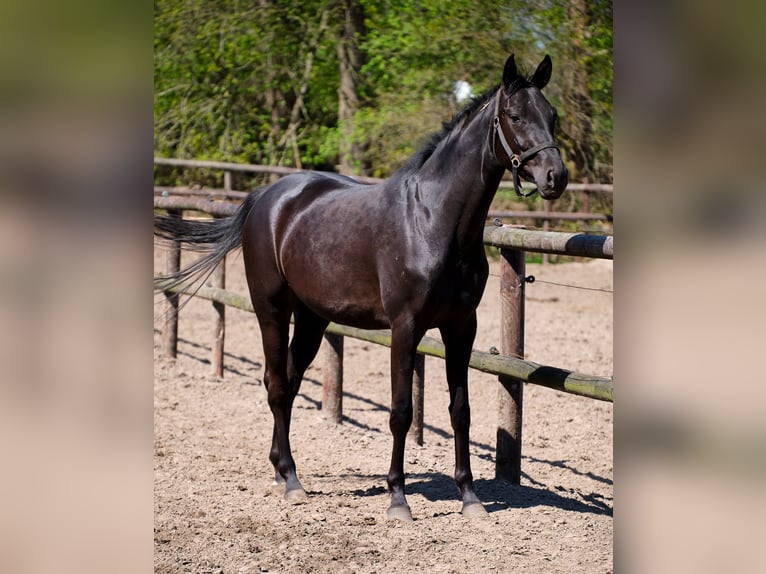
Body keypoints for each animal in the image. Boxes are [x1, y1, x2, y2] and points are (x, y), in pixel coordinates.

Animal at [156, 54, 568, 520]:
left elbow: (460, 410)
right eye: (515, 116)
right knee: (277, 384)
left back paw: (281, 469)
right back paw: (293, 482)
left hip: (312, 319)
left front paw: (470, 497)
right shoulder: (405, 327)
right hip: (271, 310)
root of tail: (266, 197)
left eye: (552, 115)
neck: (432, 219)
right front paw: (398, 500)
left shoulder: (462, 327)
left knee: (289, 382)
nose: (555, 177)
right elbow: (401, 412)